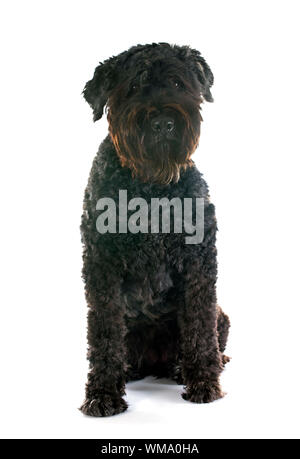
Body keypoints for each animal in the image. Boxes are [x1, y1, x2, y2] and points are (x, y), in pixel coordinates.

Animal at [79, 42, 230, 416]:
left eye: (178, 83)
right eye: (133, 86)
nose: (162, 123)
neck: (151, 191)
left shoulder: (198, 264)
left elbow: (199, 325)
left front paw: (204, 383)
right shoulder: (102, 266)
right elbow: (105, 332)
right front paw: (102, 393)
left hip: (222, 316)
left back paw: (190, 367)